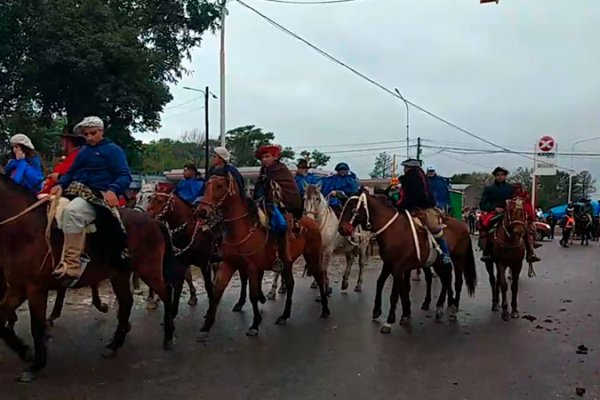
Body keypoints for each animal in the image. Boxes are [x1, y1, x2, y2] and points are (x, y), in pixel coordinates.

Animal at [0, 175, 176, 382]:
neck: (25, 230)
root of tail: (153, 221)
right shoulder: (18, 286)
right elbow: (1, 316)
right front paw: (23, 350)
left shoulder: (36, 288)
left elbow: (36, 327)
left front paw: (36, 365)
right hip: (120, 275)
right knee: (127, 303)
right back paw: (114, 345)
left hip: (148, 269)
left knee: (166, 291)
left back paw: (168, 336)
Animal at [138, 181, 216, 316]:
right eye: (138, 196)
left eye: (152, 198)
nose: (145, 217)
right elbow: (180, 283)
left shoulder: (204, 263)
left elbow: (205, 284)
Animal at [196, 173, 328, 340]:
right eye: (206, 185)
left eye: (219, 186)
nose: (201, 211)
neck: (241, 229)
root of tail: (310, 221)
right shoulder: (229, 264)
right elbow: (217, 292)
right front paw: (206, 326)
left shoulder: (252, 268)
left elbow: (253, 295)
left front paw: (254, 325)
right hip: (287, 262)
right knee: (290, 284)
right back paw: (284, 316)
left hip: (312, 257)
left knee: (319, 277)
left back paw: (325, 309)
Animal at [340, 191, 476, 334]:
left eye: (353, 208)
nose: (341, 229)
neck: (393, 230)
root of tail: (463, 226)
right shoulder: (389, 264)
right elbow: (384, 284)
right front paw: (383, 311)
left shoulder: (397, 267)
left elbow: (395, 294)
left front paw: (389, 321)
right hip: (438, 264)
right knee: (445, 281)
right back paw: (439, 308)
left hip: (458, 260)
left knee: (457, 283)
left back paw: (453, 311)